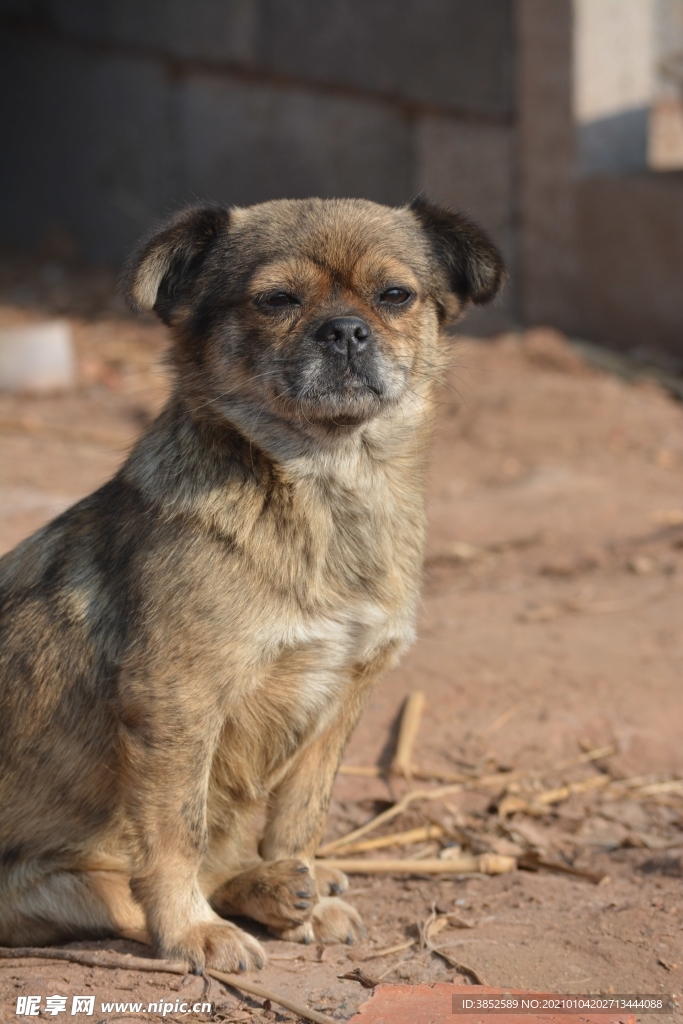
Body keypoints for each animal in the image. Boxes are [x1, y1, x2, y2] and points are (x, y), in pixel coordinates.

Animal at [0, 195, 501, 970]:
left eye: (395, 296)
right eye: (277, 300)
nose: (345, 331)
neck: (327, 488)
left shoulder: (341, 697)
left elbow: (299, 821)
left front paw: (303, 899)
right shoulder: (175, 702)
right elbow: (174, 836)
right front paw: (191, 930)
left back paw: (281, 888)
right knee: (118, 889)